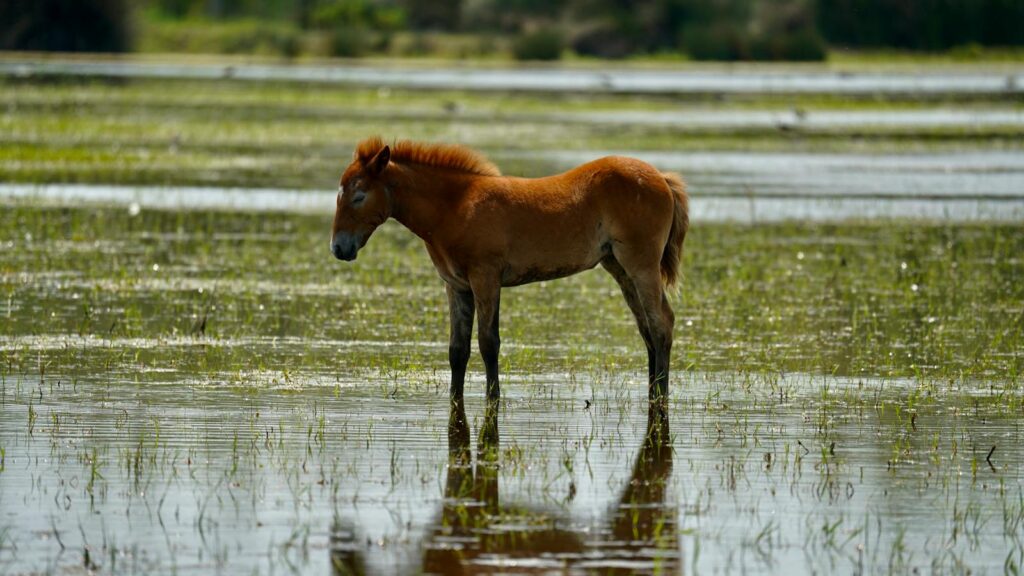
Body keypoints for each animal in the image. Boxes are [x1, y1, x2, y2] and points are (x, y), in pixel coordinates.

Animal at [331, 137, 688, 401]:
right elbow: (457, 349)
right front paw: (455, 397)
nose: (339, 248)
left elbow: (489, 342)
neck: (455, 206)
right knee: (647, 327)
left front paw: (494, 396)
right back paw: (653, 389)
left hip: (641, 264)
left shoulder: (485, 277)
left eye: (359, 196)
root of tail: (662, 178)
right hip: (619, 267)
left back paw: (661, 393)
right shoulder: (455, 285)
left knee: (661, 323)